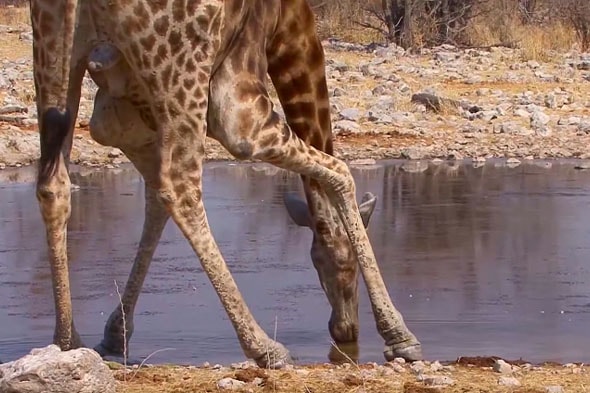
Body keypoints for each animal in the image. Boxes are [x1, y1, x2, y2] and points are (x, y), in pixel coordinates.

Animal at [30, 0, 424, 368]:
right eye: (338, 263)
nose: (345, 329)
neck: (286, 25)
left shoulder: (121, 120)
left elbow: (154, 206)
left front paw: (115, 335)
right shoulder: (238, 116)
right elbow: (341, 173)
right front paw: (399, 335)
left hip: (55, 50)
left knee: (53, 185)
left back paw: (67, 341)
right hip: (183, 74)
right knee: (181, 189)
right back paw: (265, 346)